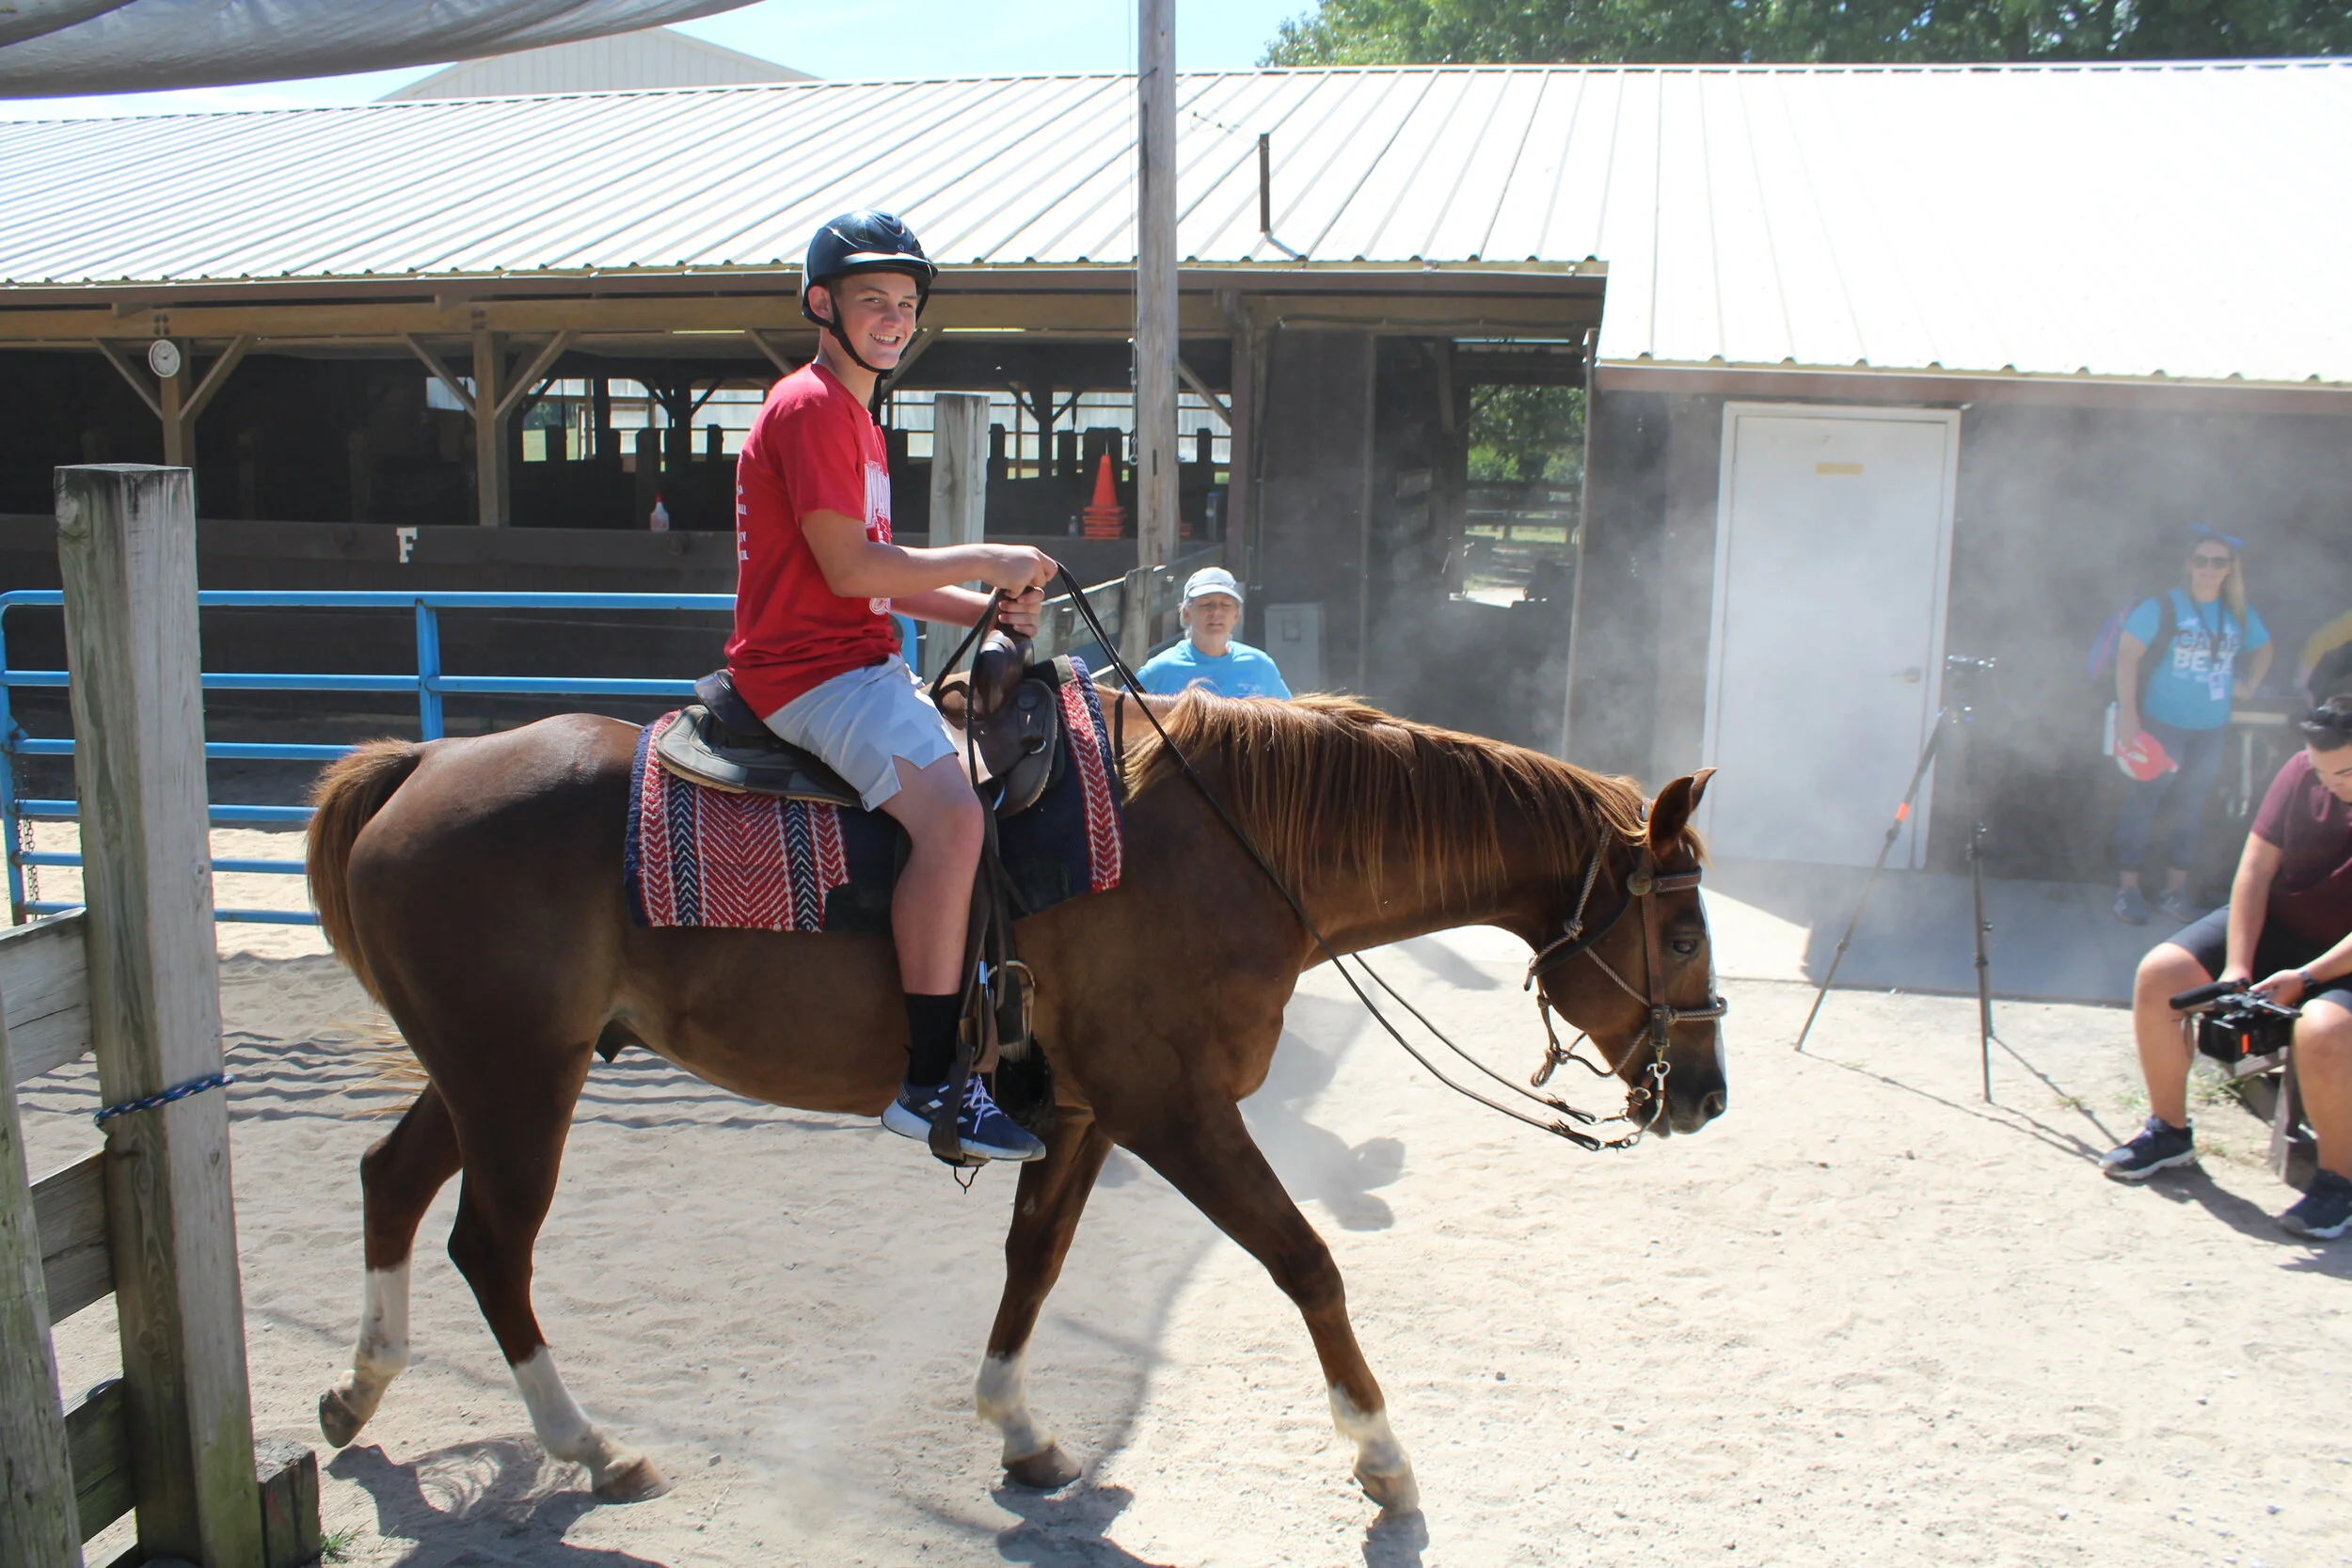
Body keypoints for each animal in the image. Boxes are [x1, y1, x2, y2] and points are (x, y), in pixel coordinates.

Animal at [303, 688, 1728, 1513]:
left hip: (486, 1071)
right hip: (518, 1078)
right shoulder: (1176, 1108)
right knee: (491, 1244)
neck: (1230, 844)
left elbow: (1033, 1262)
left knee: (389, 1183)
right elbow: (1307, 1261)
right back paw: (590, 1445)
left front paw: (1020, 1427)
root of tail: (422, 764)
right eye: (1681, 928)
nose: (1706, 1094)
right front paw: (1379, 1454)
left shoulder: (1087, 1113)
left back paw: (360, 1393)